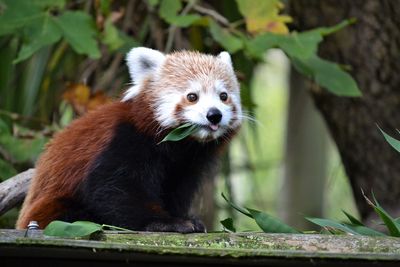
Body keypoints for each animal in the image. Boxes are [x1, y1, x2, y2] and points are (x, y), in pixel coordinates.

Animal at [16, 48, 241, 234]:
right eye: (192, 96)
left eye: (223, 96)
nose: (214, 115)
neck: (179, 145)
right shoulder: (125, 138)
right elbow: (111, 187)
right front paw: (166, 223)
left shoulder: (186, 165)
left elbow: (175, 192)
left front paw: (181, 217)